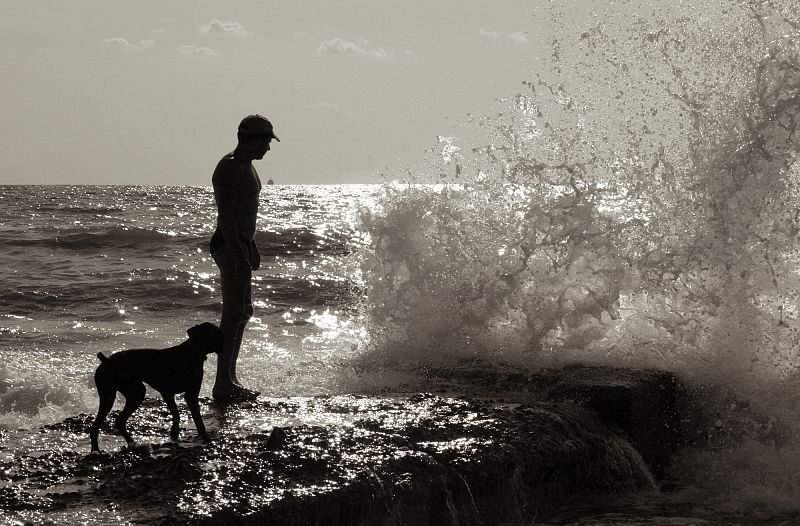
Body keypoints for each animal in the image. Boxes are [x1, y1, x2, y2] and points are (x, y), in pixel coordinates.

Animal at [89, 322, 223, 454]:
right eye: (217, 335)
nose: (224, 343)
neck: (192, 351)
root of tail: (108, 361)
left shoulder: (167, 394)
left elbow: (176, 414)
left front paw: (174, 434)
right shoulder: (191, 395)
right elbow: (198, 421)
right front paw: (206, 438)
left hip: (109, 395)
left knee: (100, 425)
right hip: (135, 393)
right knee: (118, 421)